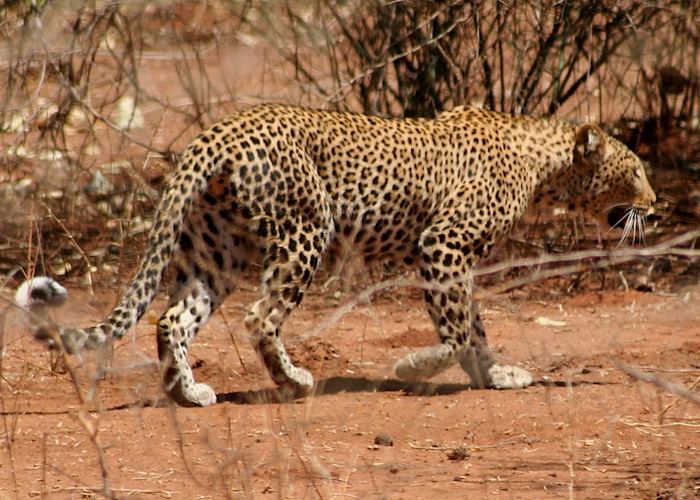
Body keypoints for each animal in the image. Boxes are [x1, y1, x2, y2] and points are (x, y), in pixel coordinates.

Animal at [20, 104, 656, 406]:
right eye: (636, 171)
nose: (655, 204)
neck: (547, 166)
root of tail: (217, 131)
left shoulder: (453, 255)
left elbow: (471, 325)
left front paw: (493, 375)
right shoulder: (443, 245)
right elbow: (456, 330)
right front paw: (419, 368)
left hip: (217, 253)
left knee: (172, 318)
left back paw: (188, 394)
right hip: (306, 229)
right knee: (260, 316)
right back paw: (295, 380)